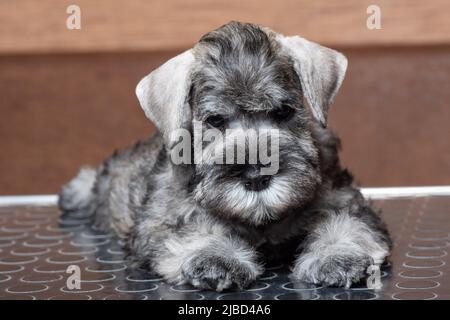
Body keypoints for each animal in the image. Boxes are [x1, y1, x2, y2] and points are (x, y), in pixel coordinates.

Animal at [59, 21, 390, 292]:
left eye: (284, 111)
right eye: (215, 120)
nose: (257, 176)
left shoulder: (343, 197)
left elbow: (347, 220)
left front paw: (340, 254)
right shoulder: (159, 222)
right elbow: (191, 227)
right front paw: (215, 255)